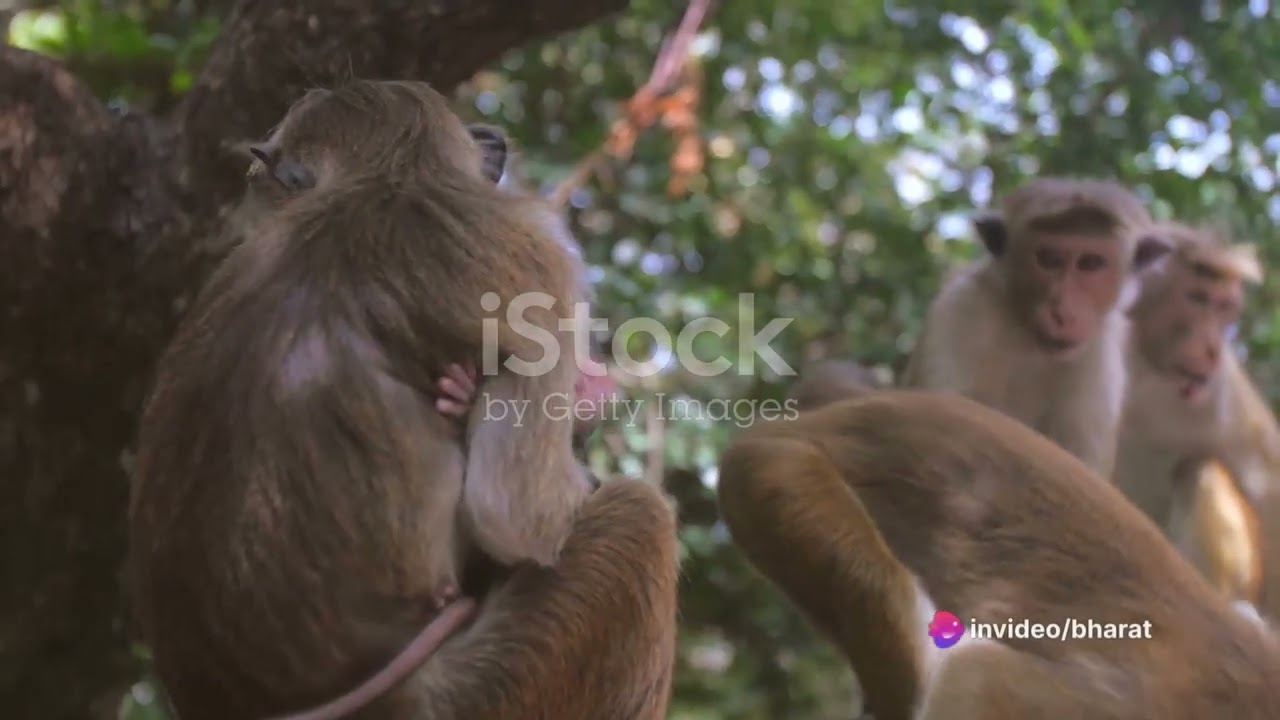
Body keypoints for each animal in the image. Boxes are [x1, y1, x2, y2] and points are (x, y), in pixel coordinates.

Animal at [900, 177, 1167, 478]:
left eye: (1091, 263)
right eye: (1049, 258)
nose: (1063, 312)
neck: (1027, 338)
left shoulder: (1100, 354)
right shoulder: (960, 308)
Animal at [1113, 222, 1280, 613]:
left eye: (1225, 307)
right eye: (1198, 298)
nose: (1213, 348)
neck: (1146, 372)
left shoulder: (1221, 389)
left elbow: (1267, 482)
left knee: (1199, 468)